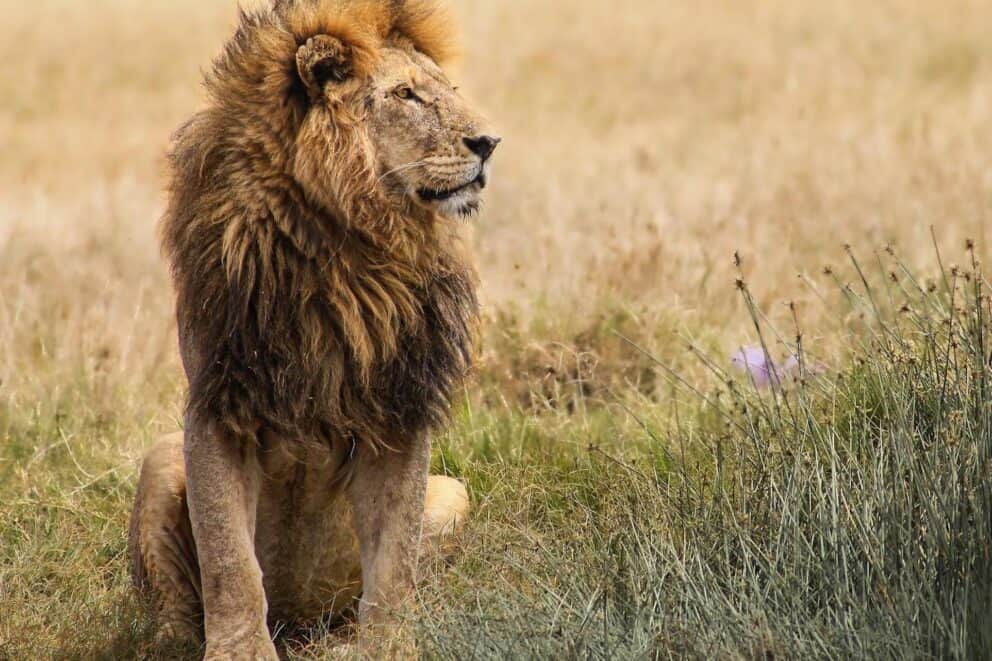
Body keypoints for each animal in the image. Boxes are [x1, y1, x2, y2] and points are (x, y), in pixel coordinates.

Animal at [127, 0, 498, 657]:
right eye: (405, 94)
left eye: (447, 91)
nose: (488, 143)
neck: (343, 243)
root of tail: (300, 624)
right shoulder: (218, 407)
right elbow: (229, 559)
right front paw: (239, 650)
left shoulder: (399, 412)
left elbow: (394, 556)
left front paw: (387, 645)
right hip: (160, 460)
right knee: (174, 602)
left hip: (455, 493)